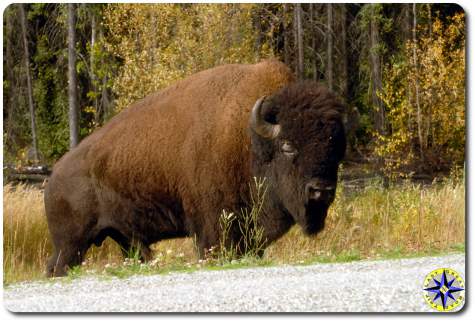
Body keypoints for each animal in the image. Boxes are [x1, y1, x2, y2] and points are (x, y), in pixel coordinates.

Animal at [44, 59, 346, 276]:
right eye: (287, 146)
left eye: (336, 149)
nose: (321, 190)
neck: (250, 140)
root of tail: (54, 175)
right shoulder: (214, 229)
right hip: (71, 243)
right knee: (58, 266)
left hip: (124, 241)